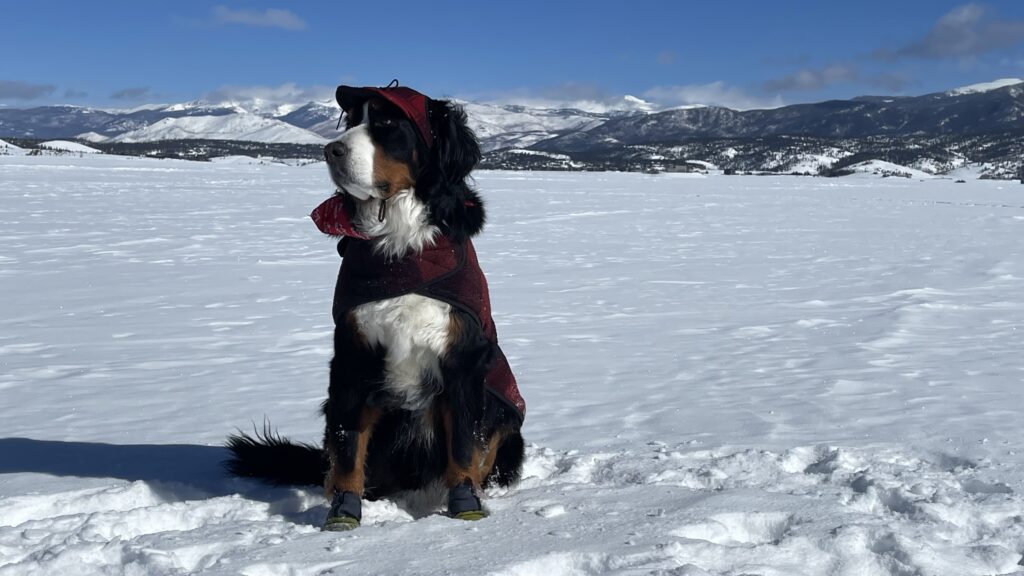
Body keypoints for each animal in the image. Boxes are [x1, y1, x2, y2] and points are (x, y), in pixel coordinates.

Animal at [227, 81, 524, 528]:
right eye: (351, 121)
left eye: (386, 124)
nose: (331, 150)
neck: (400, 249)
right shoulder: (354, 352)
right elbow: (348, 446)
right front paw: (343, 512)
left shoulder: (463, 357)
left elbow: (463, 445)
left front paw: (465, 505)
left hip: (505, 415)